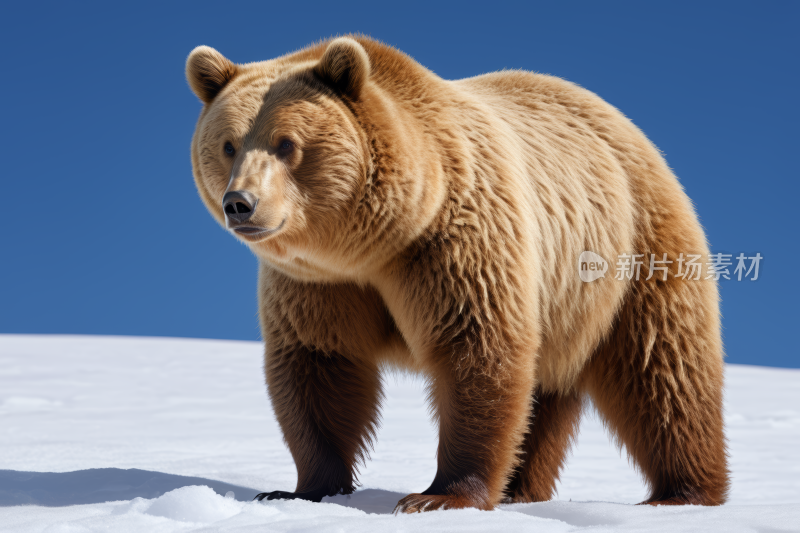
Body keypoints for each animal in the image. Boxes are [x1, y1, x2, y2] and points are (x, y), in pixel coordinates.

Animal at [186, 34, 732, 512]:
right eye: (229, 144)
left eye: (286, 144)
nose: (240, 203)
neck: (373, 245)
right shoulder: (319, 284)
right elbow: (318, 364)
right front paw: (302, 488)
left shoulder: (451, 244)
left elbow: (476, 349)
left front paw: (438, 496)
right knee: (545, 391)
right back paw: (519, 487)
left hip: (630, 250)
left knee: (662, 368)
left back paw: (681, 493)